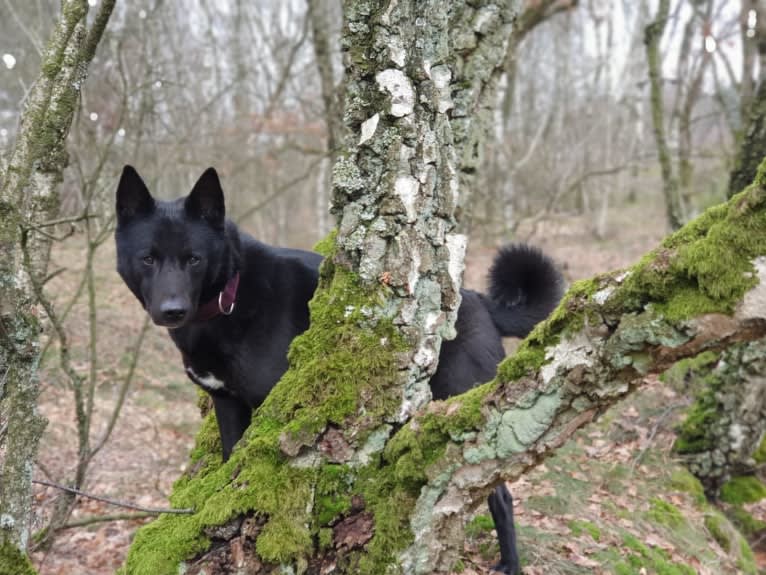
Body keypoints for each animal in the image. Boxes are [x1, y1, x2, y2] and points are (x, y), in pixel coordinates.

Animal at [114, 164, 564, 572]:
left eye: (194, 259)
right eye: (148, 259)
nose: (172, 311)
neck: (231, 295)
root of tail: (478, 300)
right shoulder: (228, 405)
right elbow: (231, 462)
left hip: (465, 405)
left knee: (499, 494)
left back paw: (510, 563)